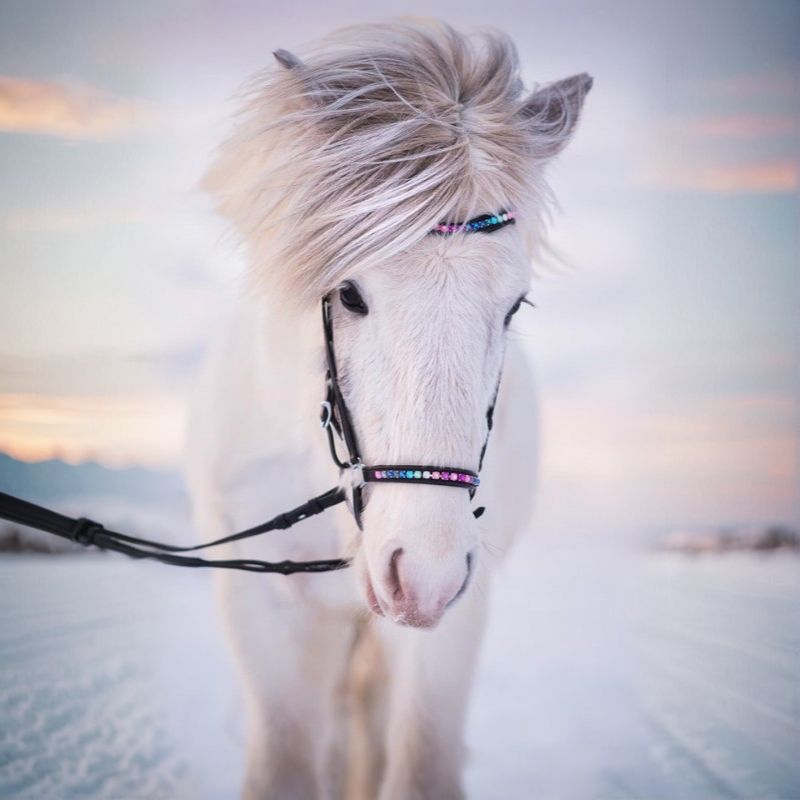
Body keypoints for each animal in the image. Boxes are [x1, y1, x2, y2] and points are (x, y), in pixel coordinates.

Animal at [185, 19, 591, 800]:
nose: (423, 576)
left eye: (514, 306)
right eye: (348, 293)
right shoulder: (266, 613)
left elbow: (418, 759)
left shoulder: (456, 612)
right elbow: (289, 758)